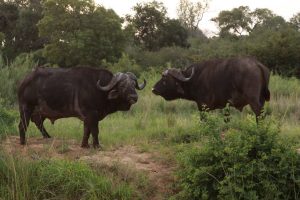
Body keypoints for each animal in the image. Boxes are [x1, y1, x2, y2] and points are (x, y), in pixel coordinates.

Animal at [17, 66, 146, 148]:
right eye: (123, 86)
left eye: (133, 84)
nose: (134, 97)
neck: (101, 91)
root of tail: (23, 81)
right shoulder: (92, 114)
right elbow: (95, 130)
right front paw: (96, 145)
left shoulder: (88, 117)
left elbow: (87, 130)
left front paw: (85, 145)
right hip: (26, 108)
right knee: (22, 125)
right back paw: (23, 142)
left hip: (39, 112)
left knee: (38, 123)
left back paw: (48, 137)